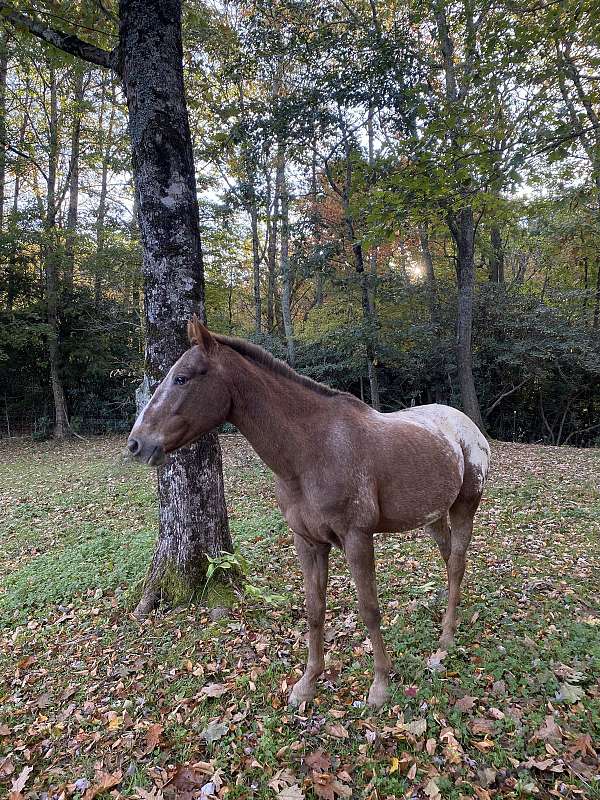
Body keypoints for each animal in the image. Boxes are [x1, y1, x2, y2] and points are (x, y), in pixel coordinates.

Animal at [128, 317, 491, 707]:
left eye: (182, 378)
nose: (137, 444)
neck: (311, 450)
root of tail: (466, 426)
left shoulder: (357, 538)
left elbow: (369, 609)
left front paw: (380, 685)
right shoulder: (308, 541)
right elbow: (314, 610)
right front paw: (307, 683)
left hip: (466, 505)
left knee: (457, 562)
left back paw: (447, 638)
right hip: (434, 517)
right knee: (449, 561)